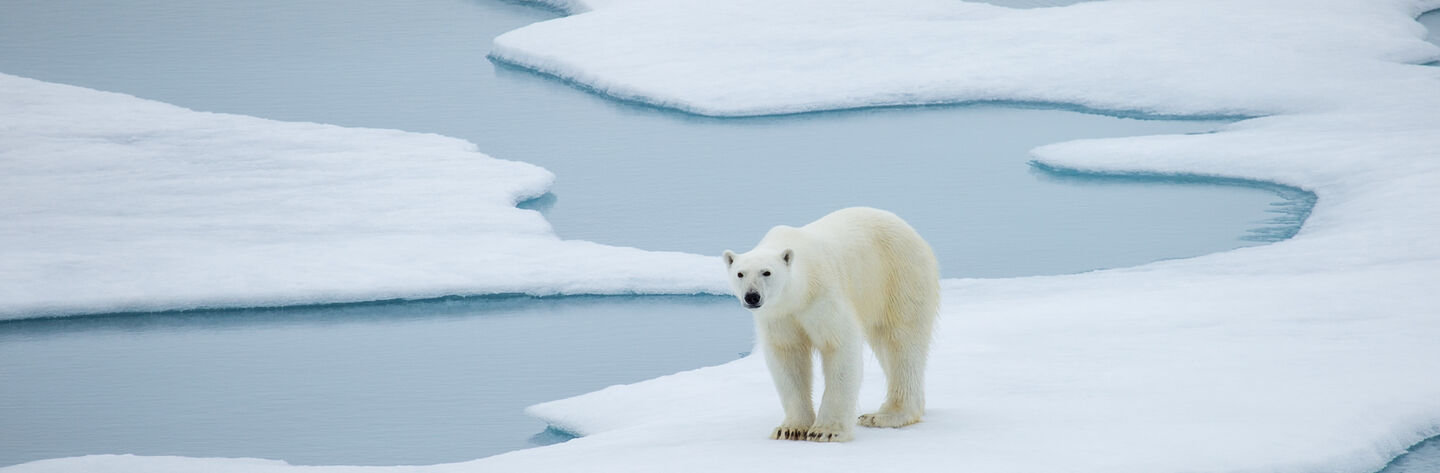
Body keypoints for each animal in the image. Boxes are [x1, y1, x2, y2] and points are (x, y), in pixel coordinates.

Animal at [720, 207, 944, 444]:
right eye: (740, 273)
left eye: (767, 272)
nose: (752, 296)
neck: (800, 293)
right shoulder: (779, 316)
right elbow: (787, 356)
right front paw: (790, 429)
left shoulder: (823, 295)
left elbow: (839, 345)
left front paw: (826, 431)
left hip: (899, 278)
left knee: (901, 342)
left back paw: (885, 415)